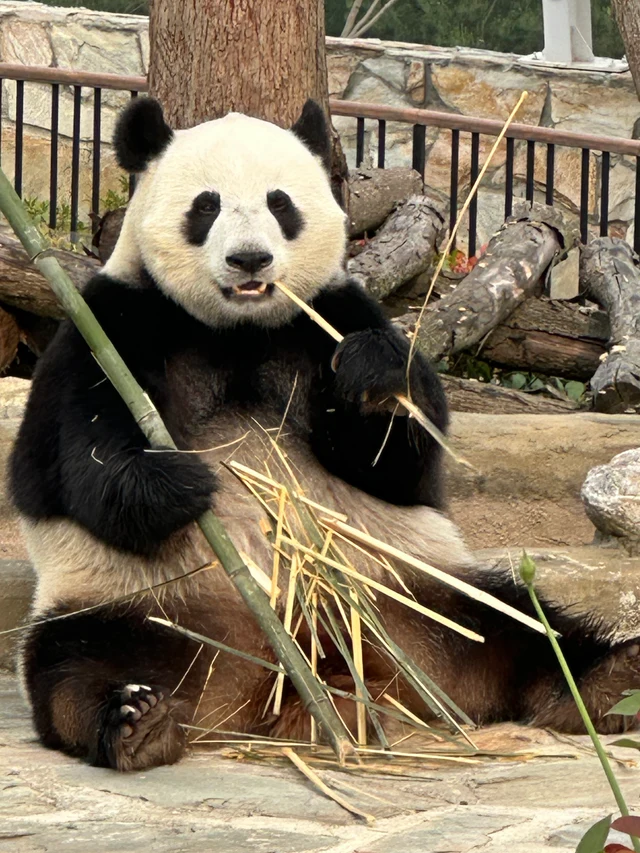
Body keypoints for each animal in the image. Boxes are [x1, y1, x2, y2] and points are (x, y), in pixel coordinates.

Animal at [9, 97, 640, 772]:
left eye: (280, 203)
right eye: (206, 206)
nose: (250, 259)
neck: (237, 330)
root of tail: (283, 675)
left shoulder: (333, 314)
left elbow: (401, 464)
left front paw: (373, 380)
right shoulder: (112, 321)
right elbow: (73, 463)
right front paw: (180, 483)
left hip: (414, 589)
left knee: (523, 625)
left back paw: (608, 682)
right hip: (138, 608)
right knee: (73, 668)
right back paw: (136, 722)